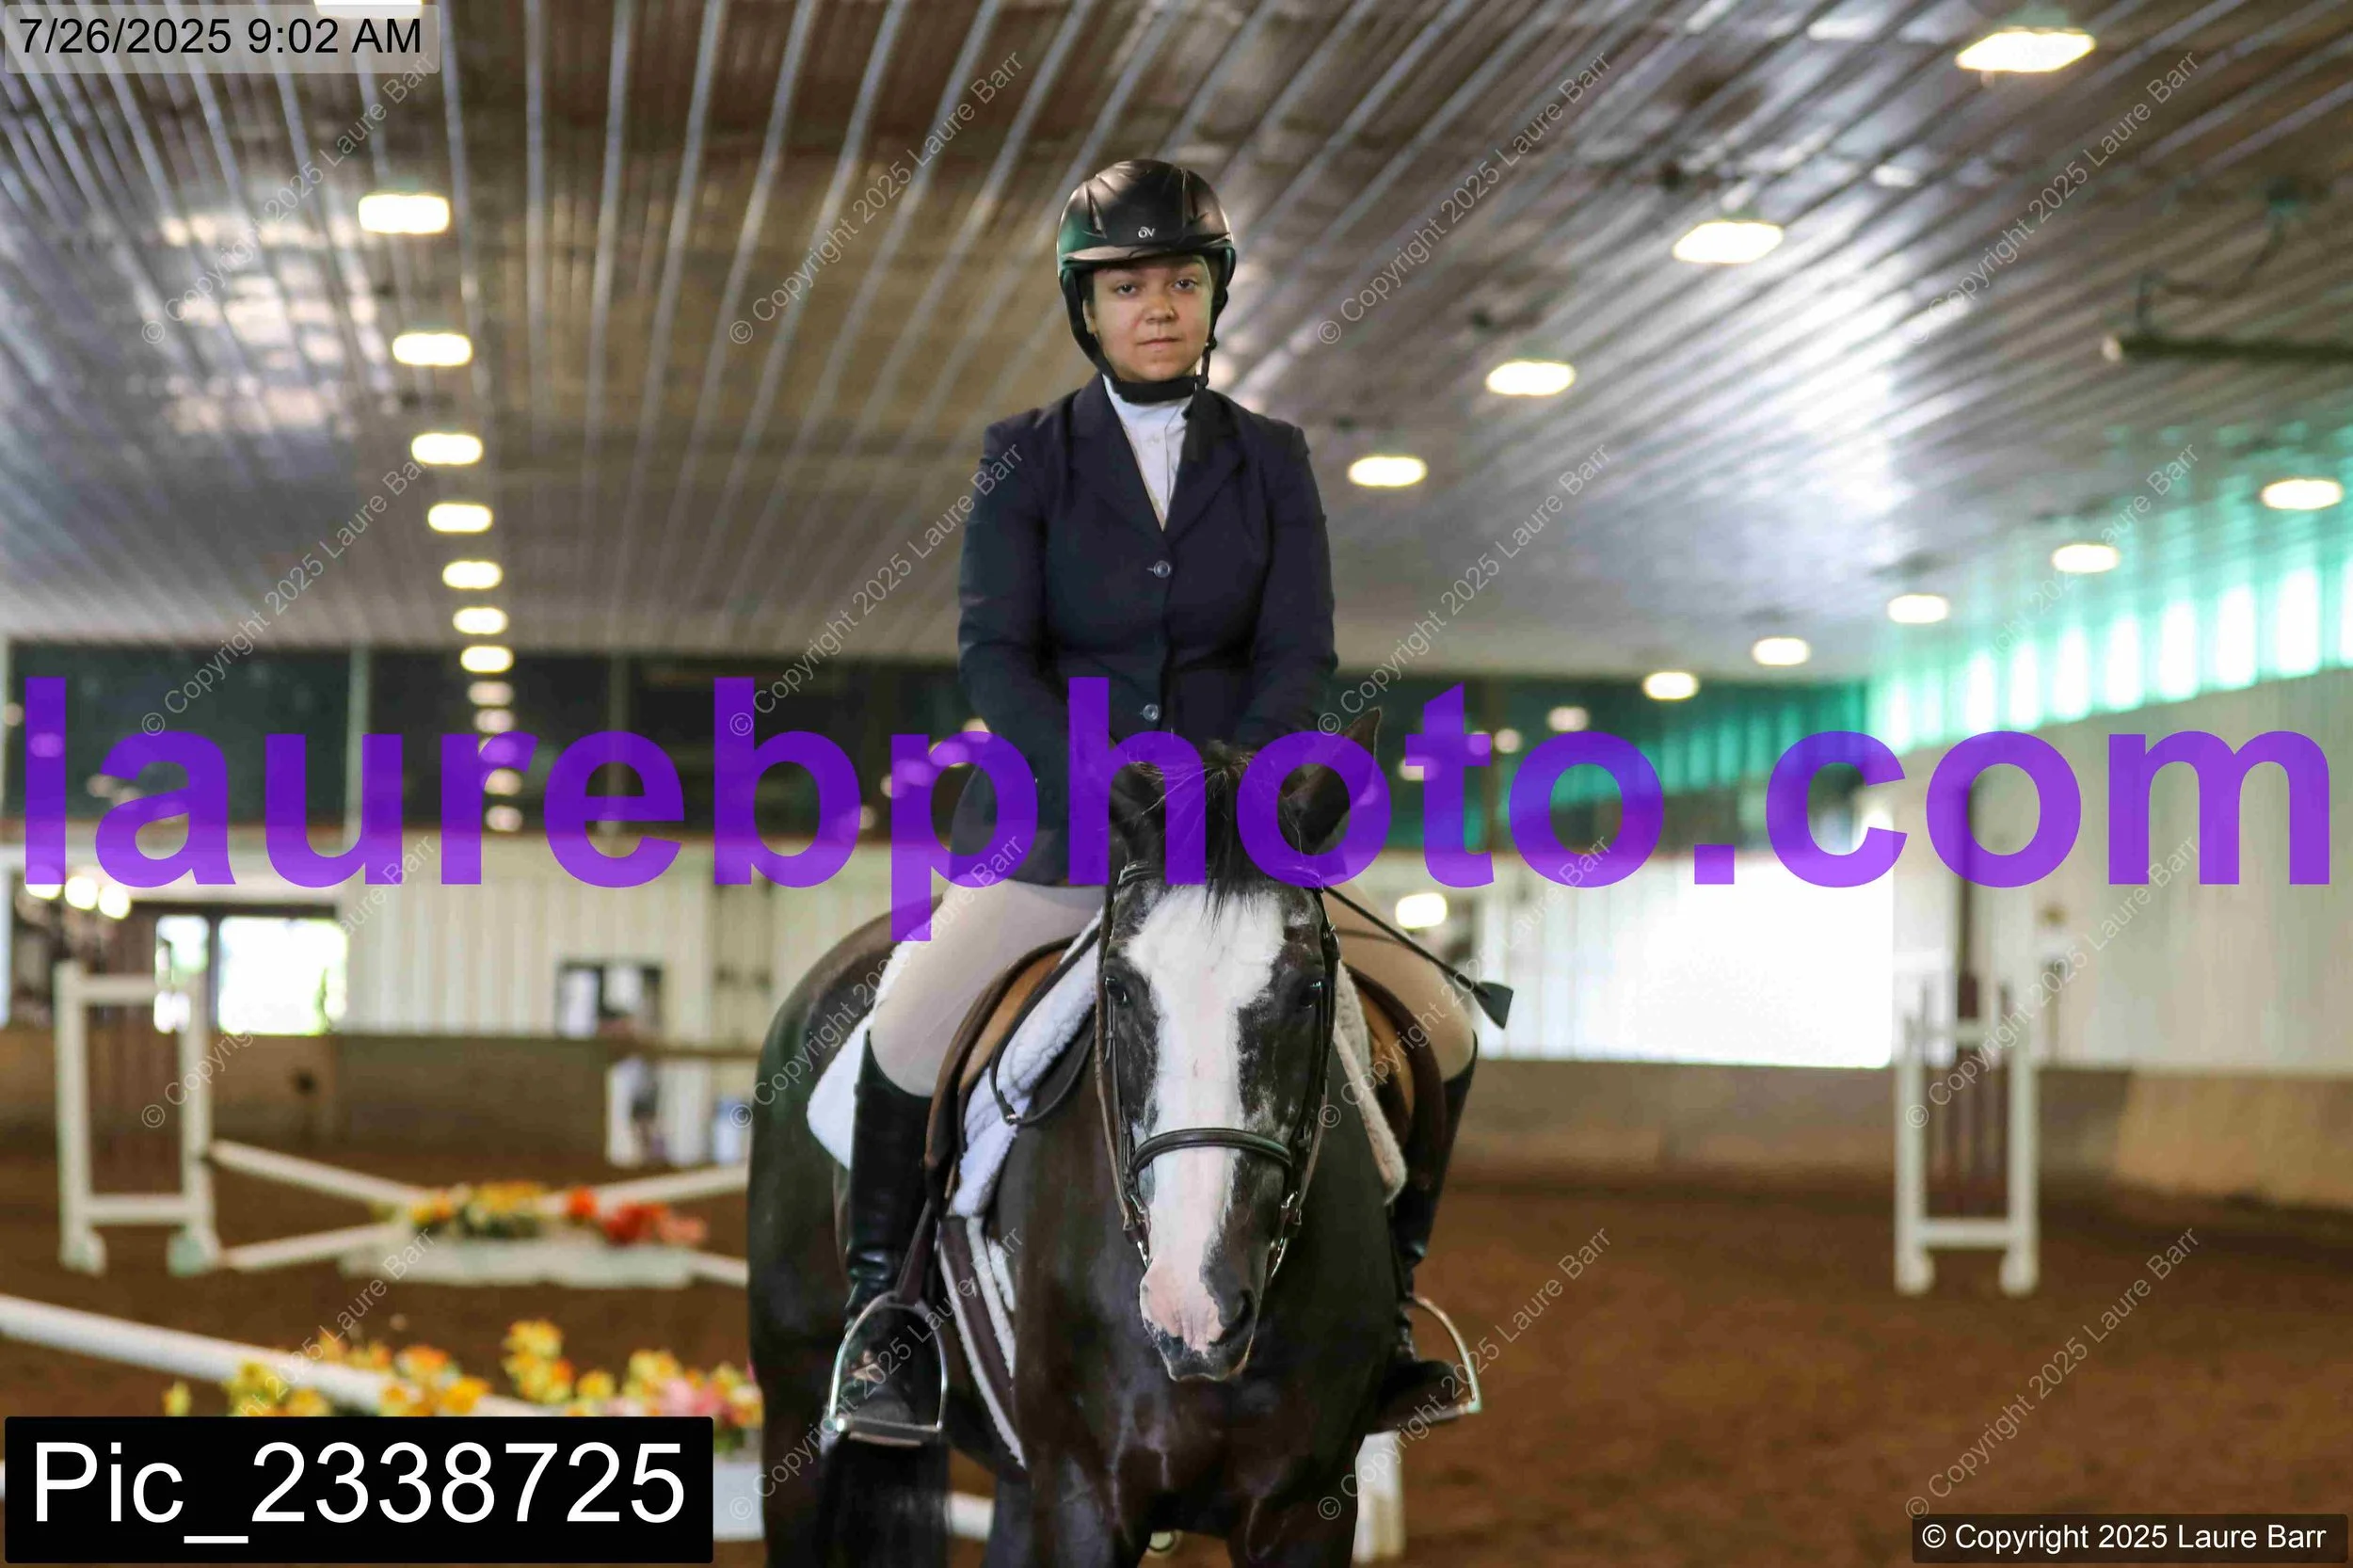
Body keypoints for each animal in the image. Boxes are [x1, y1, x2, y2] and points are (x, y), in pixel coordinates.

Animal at [747, 721, 1400, 1566]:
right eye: (1118, 986)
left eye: (1309, 989)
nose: (1194, 1306)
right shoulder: (1084, 1496)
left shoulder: (1308, 1511)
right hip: (794, 1402)